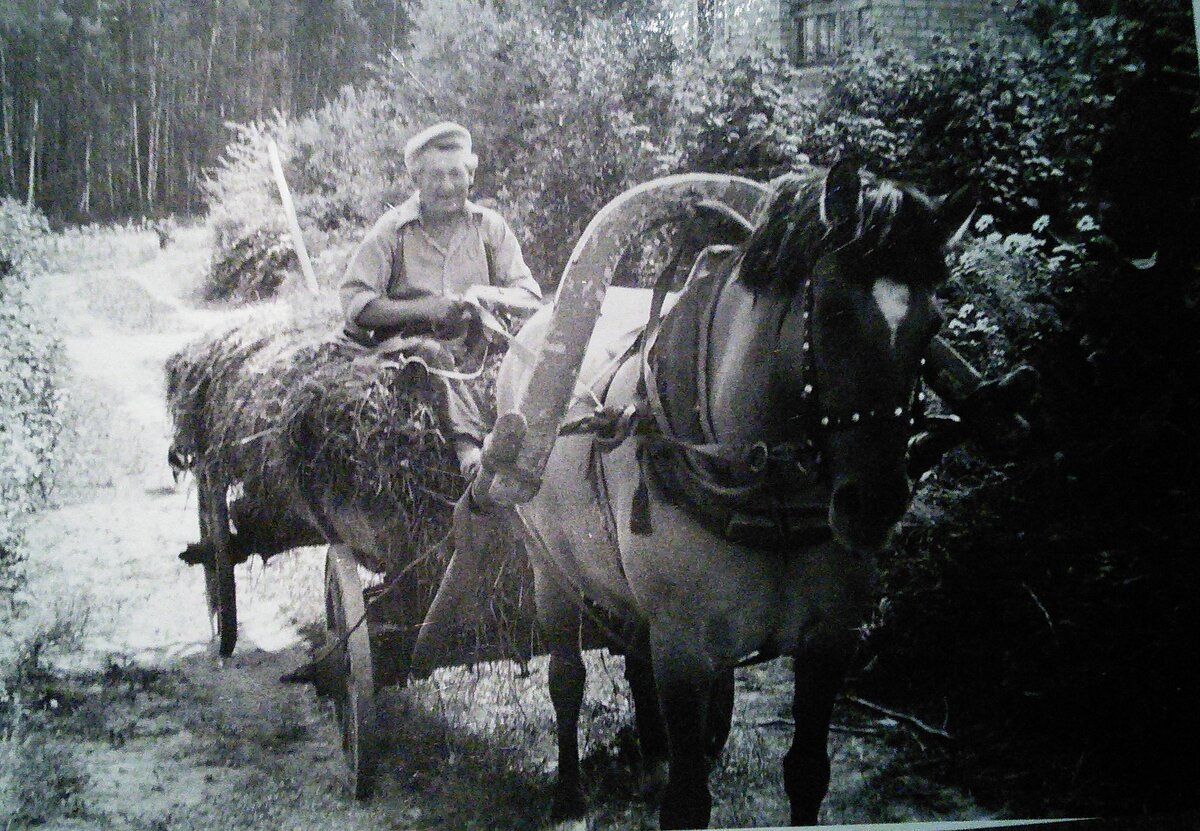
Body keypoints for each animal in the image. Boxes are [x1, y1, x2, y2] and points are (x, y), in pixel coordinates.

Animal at [468, 160, 974, 826]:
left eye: (933, 326)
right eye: (832, 313)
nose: (875, 504)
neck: (766, 497)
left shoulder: (830, 641)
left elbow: (807, 773)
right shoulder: (684, 649)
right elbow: (687, 800)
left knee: (632, 660)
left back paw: (647, 753)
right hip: (548, 568)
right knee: (567, 678)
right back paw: (570, 793)